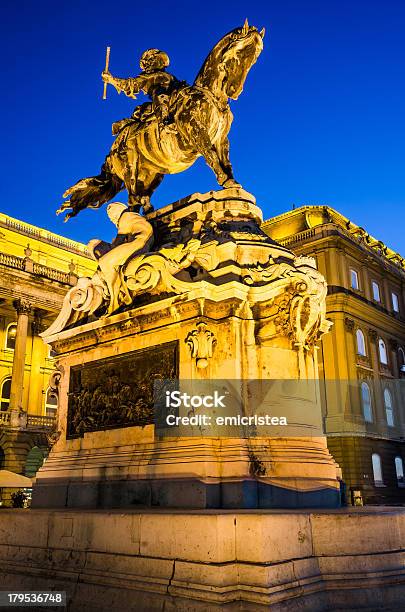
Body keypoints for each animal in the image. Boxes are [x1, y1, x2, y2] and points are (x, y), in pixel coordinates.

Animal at [58, 22, 264, 221]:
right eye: (241, 52)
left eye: (255, 57)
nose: (234, 90)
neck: (210, 94)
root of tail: (112, 149)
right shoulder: (198, 134)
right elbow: (211, 156)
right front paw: (226, 181)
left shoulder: (221, 139)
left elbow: (225, 162)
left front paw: (232, 182)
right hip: (130, 168)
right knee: (133, 199)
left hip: (153, 173)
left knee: (142, 197)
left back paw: (149, 212)